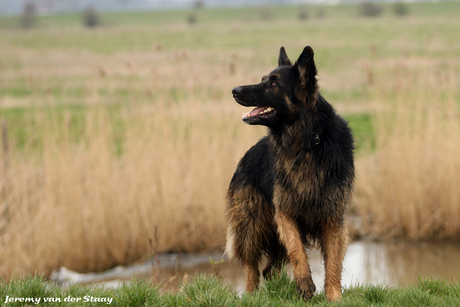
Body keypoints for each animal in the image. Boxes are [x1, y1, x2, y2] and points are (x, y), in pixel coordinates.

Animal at [225, 47, 354, 302]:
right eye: (264, 79)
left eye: (274, 83)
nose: (235, 90)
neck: (308, 142)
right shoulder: (285, 213)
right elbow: (296, 251)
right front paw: (305, 284)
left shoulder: (333, 218)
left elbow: (334, 263)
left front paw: (334, 297)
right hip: (252, 225)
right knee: (253, 268)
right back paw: (252, 295)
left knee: (268, 269)